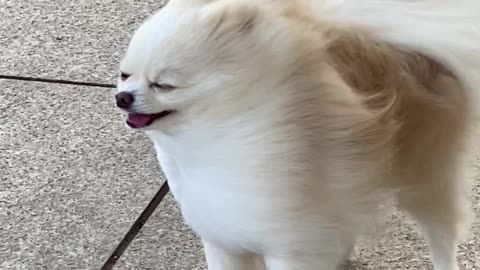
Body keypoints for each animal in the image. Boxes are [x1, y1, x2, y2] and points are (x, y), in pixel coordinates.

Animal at [114, 0, 478, 268]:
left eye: (164, 84)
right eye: (124, 75)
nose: (122, 97)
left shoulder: (288, 244)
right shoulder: (222, 236)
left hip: (423, 177)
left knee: (441, 233)